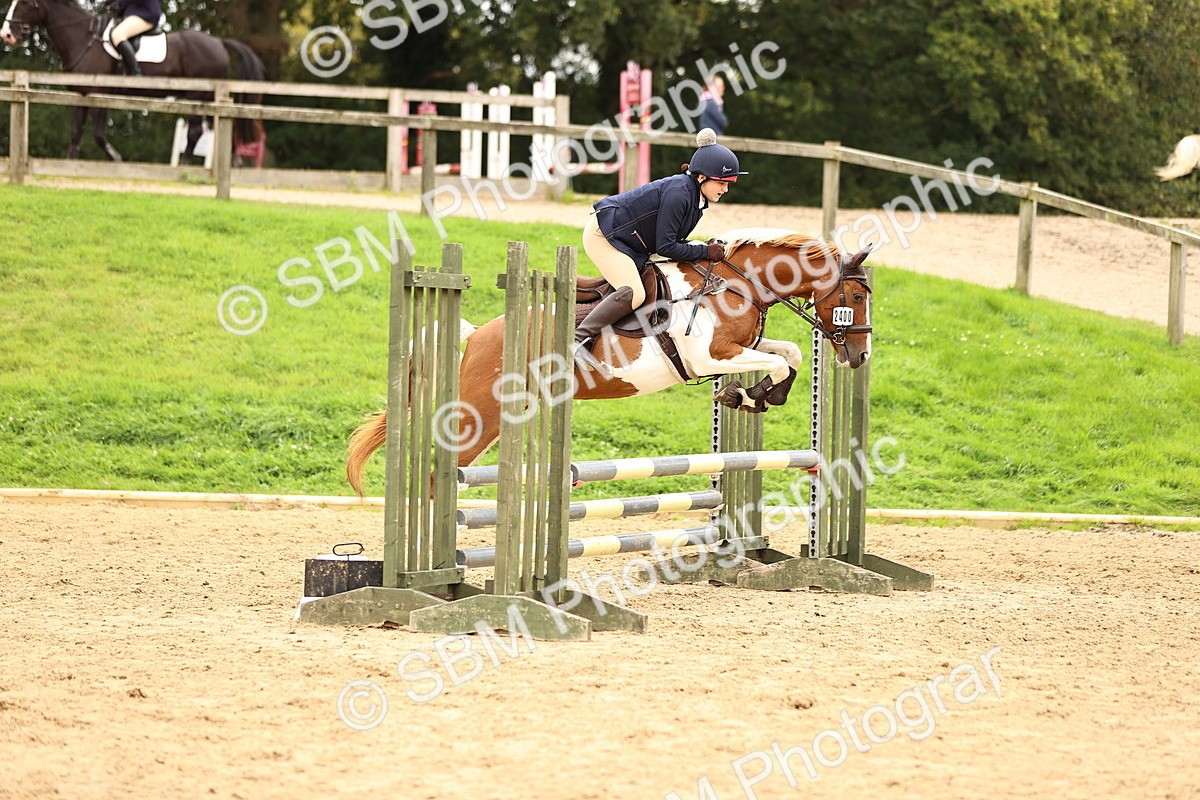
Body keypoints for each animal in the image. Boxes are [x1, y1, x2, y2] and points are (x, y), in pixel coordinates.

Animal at [0, 0, 264, 162]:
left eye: (26, 2)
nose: (7, 34)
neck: (84, 38)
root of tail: (218, 42)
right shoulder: (80, 95)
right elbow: (75, 133)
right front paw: (70, 163)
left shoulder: (99, 94)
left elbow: (98, 134)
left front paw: (115, 158)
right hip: (204, 97)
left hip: (196, 95)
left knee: (196, 131)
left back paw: (186, 164)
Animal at [345, 230, 874, 496]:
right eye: (854, 296)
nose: (860, 356)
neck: (738, 283)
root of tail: (476, 336)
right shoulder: (708, 354)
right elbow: (779, 360)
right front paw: (750, 393)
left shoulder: (734, 351)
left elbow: (789, 354)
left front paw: (752, 395)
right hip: (479, 416)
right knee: (441, 475)